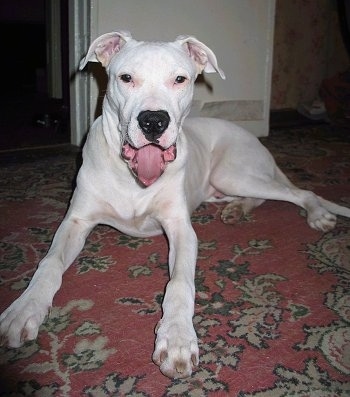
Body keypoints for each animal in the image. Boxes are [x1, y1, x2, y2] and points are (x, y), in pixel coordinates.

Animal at [0, 31, 350, 378]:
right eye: (126, 78)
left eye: (180, 79)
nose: (153, 121)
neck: (133, 176)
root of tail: (257, 140)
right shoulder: (75, 222)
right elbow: (49, 264)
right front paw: (23, 309)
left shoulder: (182, 230)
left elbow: (180, 282)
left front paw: (178, 339)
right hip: (225, 185)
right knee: (264, 196)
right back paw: (237, 210)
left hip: (232, 173)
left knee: (300, 192)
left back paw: (317, 215)